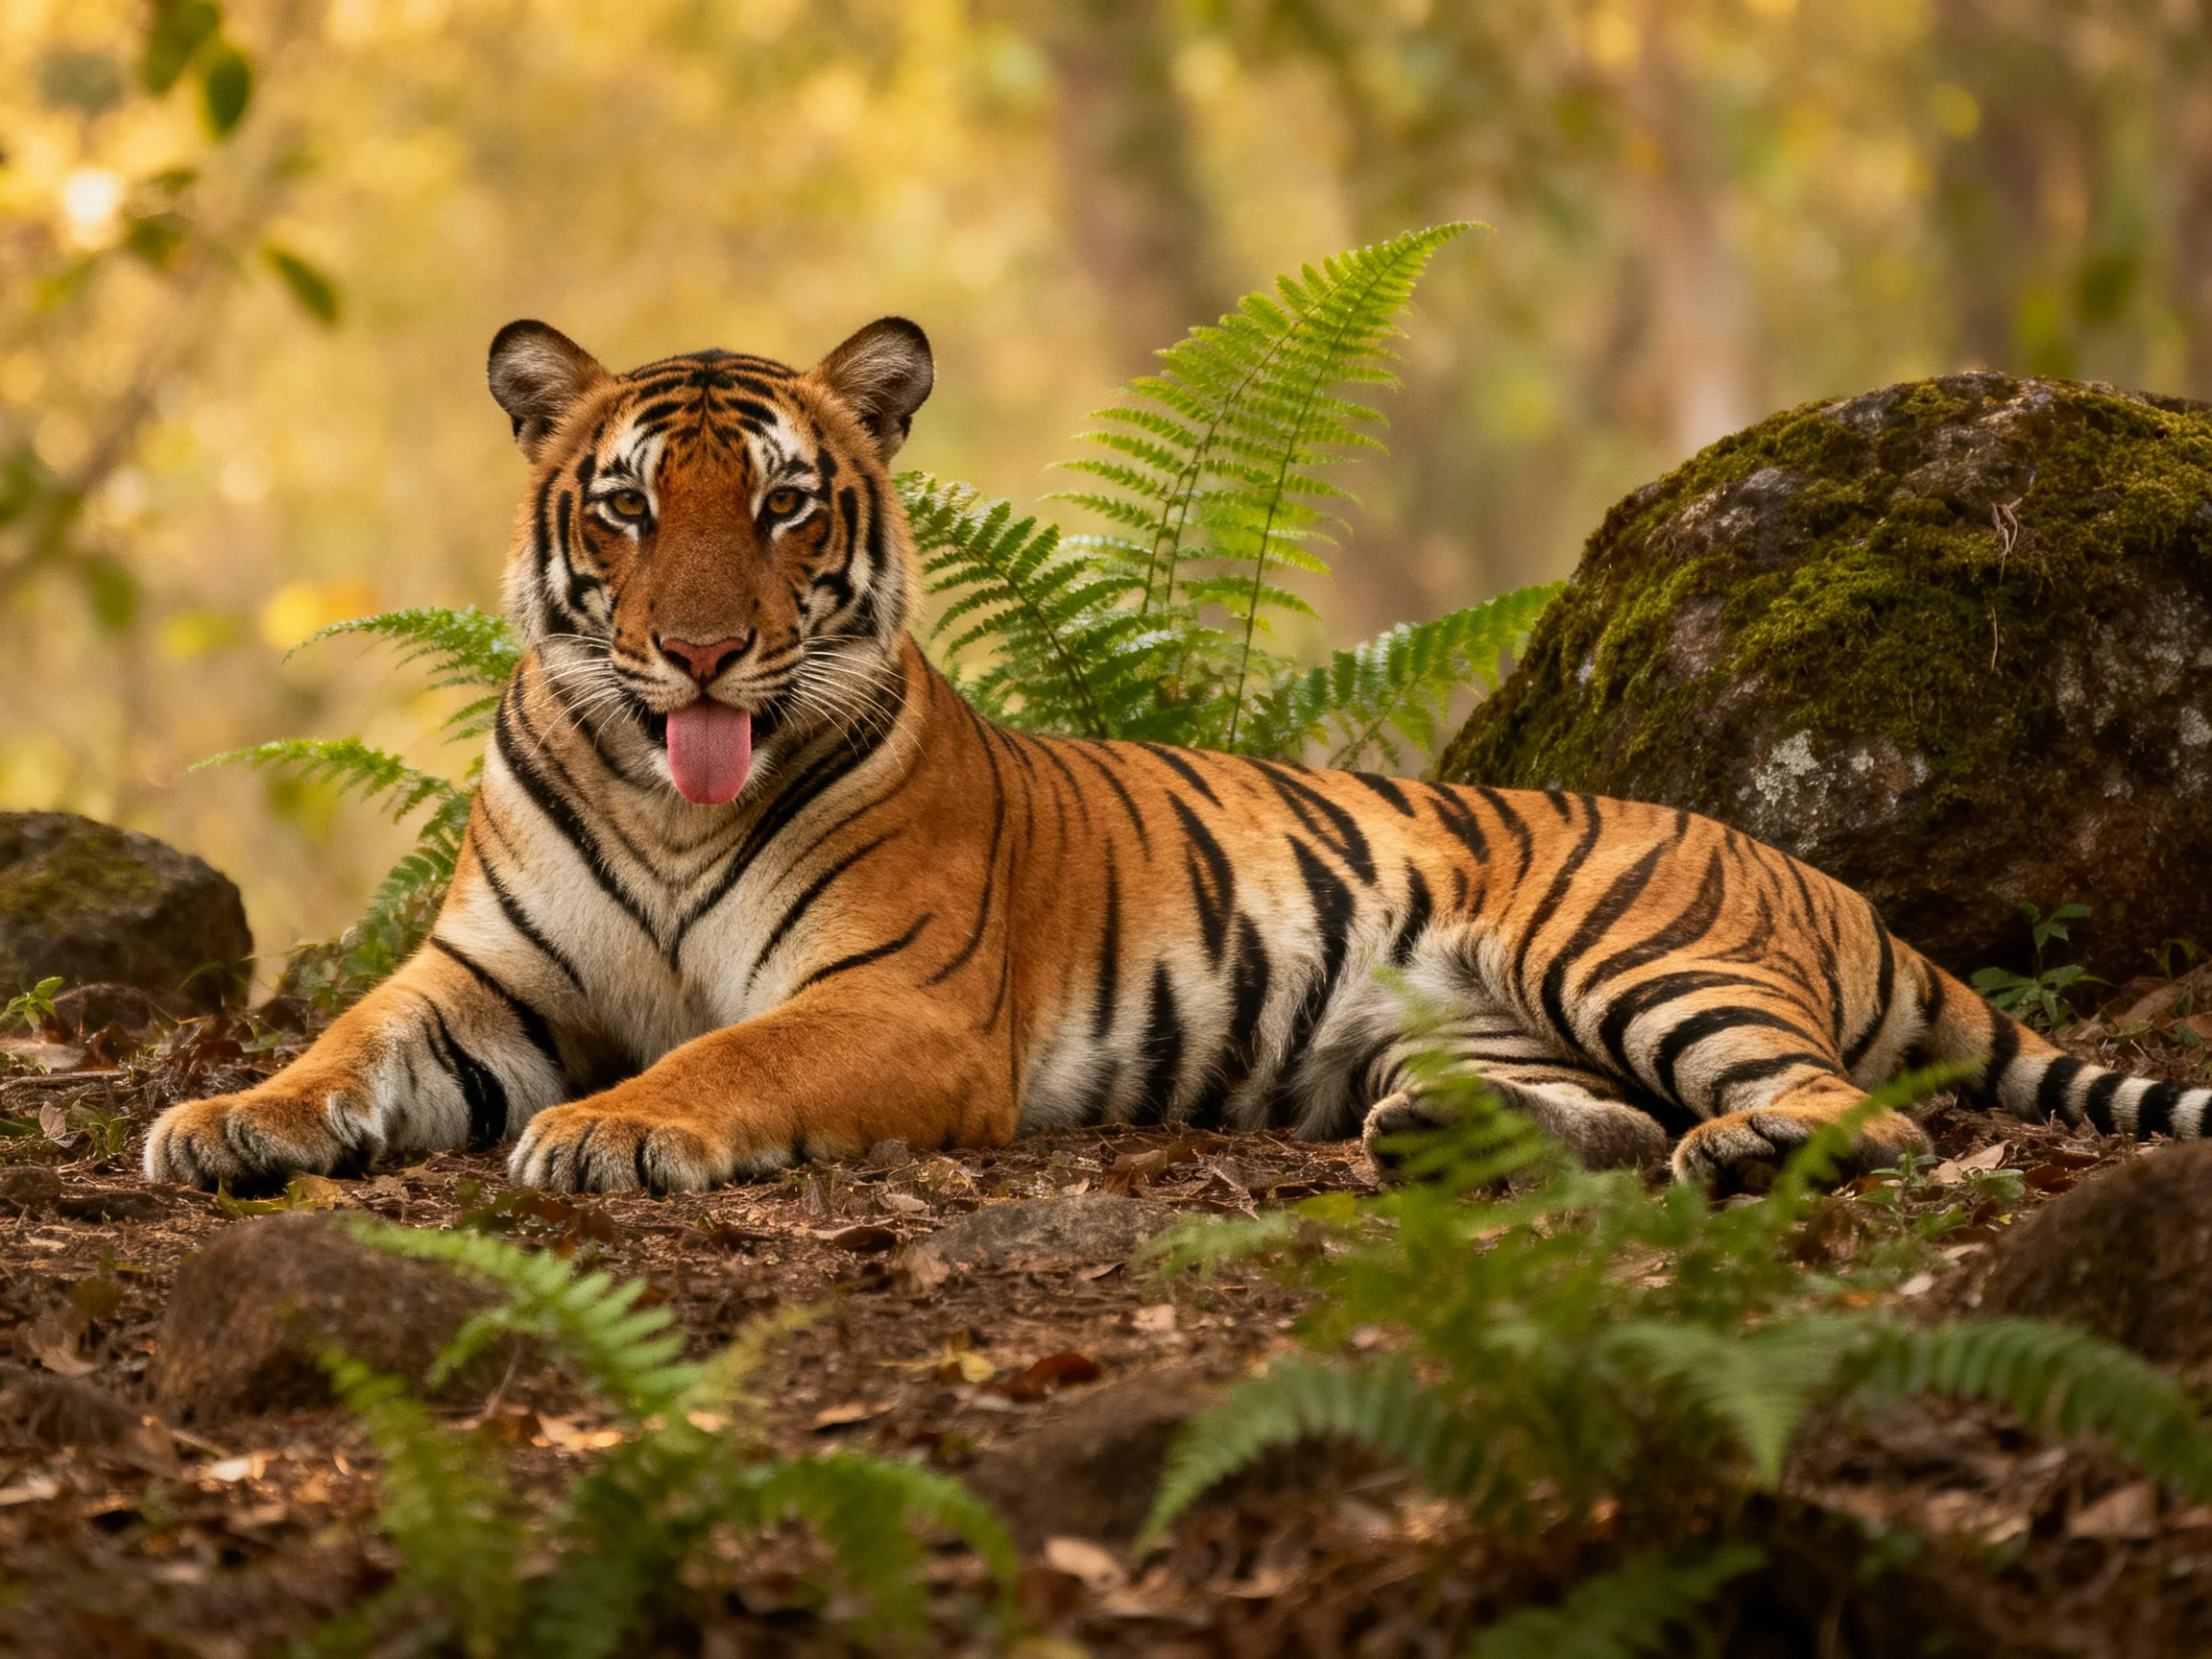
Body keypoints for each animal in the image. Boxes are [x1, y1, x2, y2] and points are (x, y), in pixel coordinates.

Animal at [143, 315, 2212, 1198]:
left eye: (789, 504)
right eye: (634, 508)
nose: (705, 647)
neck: (665, 799)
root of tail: (1809, 869)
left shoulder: (896, 1004)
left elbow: (726, 1053)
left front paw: (609, 1131)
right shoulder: (481, 977)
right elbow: (341, 1047)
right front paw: (222, 1120)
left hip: (1630, 949)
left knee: (1865, 1112)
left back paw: (1748, 1149)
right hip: (1471, 1022)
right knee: (1612, 1117)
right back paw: (1448, 1139)